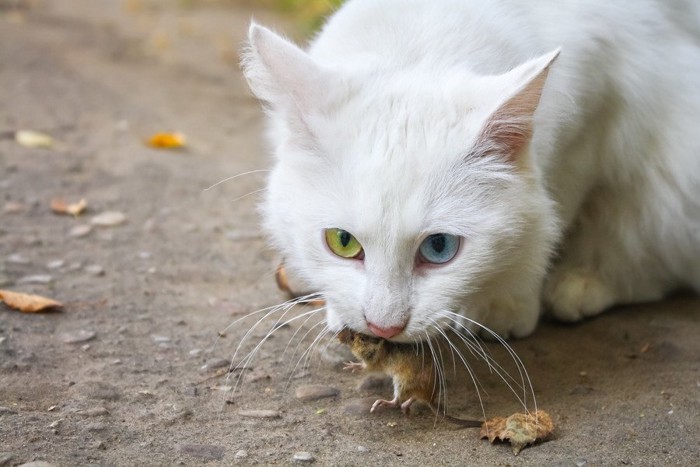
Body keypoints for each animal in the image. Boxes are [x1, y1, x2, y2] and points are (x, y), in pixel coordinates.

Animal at [242, 1, 700, 342]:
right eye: (342, 242)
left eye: (439, 248)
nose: (383, 328)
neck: (422, 42)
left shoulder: (594, 125)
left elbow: (553, 216)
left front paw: (506, 303)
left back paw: (582, 283)